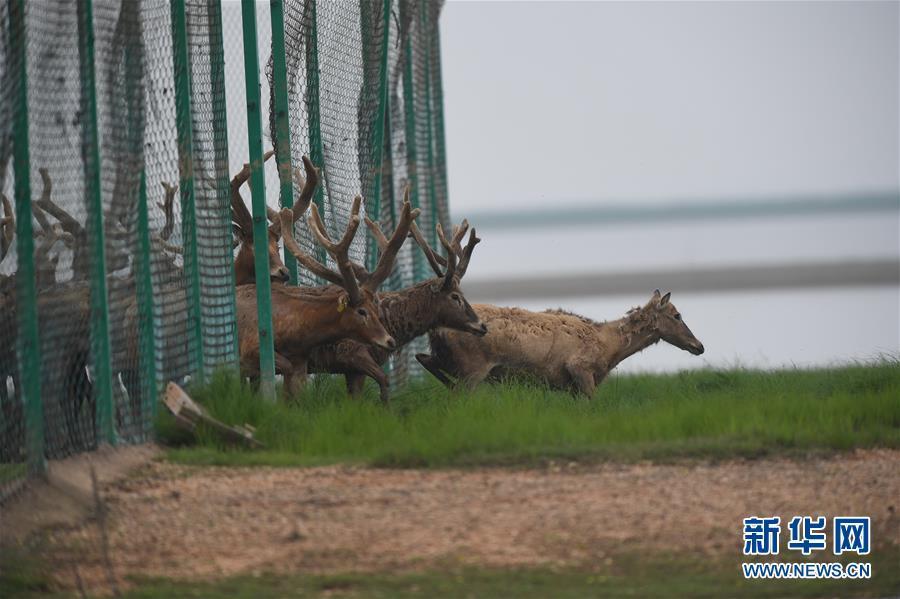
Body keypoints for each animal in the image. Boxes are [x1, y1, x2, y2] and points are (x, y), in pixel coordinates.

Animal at [304, 195, 486, 404]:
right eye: (455, 296)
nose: (482, 325)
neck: (390, 325)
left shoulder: (353, 369)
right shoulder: (351, 353)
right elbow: (384, 380)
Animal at [418, 288, 708, 396]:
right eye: (677, 315)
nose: (699, 346)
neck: (609, 348)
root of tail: (436, 331)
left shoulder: (570, 386)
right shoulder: (580, 368)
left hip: (450, 359)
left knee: (424, 359)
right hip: (473, 366)